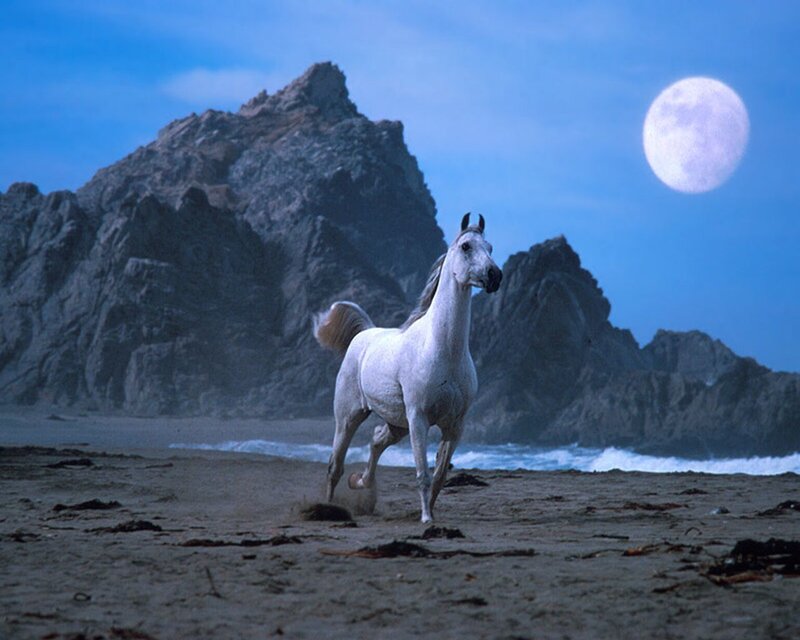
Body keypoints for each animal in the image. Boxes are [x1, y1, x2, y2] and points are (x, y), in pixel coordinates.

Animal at [313, 213, 502, 522]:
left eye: (490, 247)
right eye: (466, 246)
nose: (495, 276)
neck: (443, 350)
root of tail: (365, 332)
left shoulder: (455, 425)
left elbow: (439, 476)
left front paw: (431, 514)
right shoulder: (418, 419)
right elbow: (423, 474)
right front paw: (426, 519)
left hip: (396, 423)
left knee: (376, 441)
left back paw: (361, 483)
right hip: (349, 417)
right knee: (335, 465)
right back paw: (329, 507)